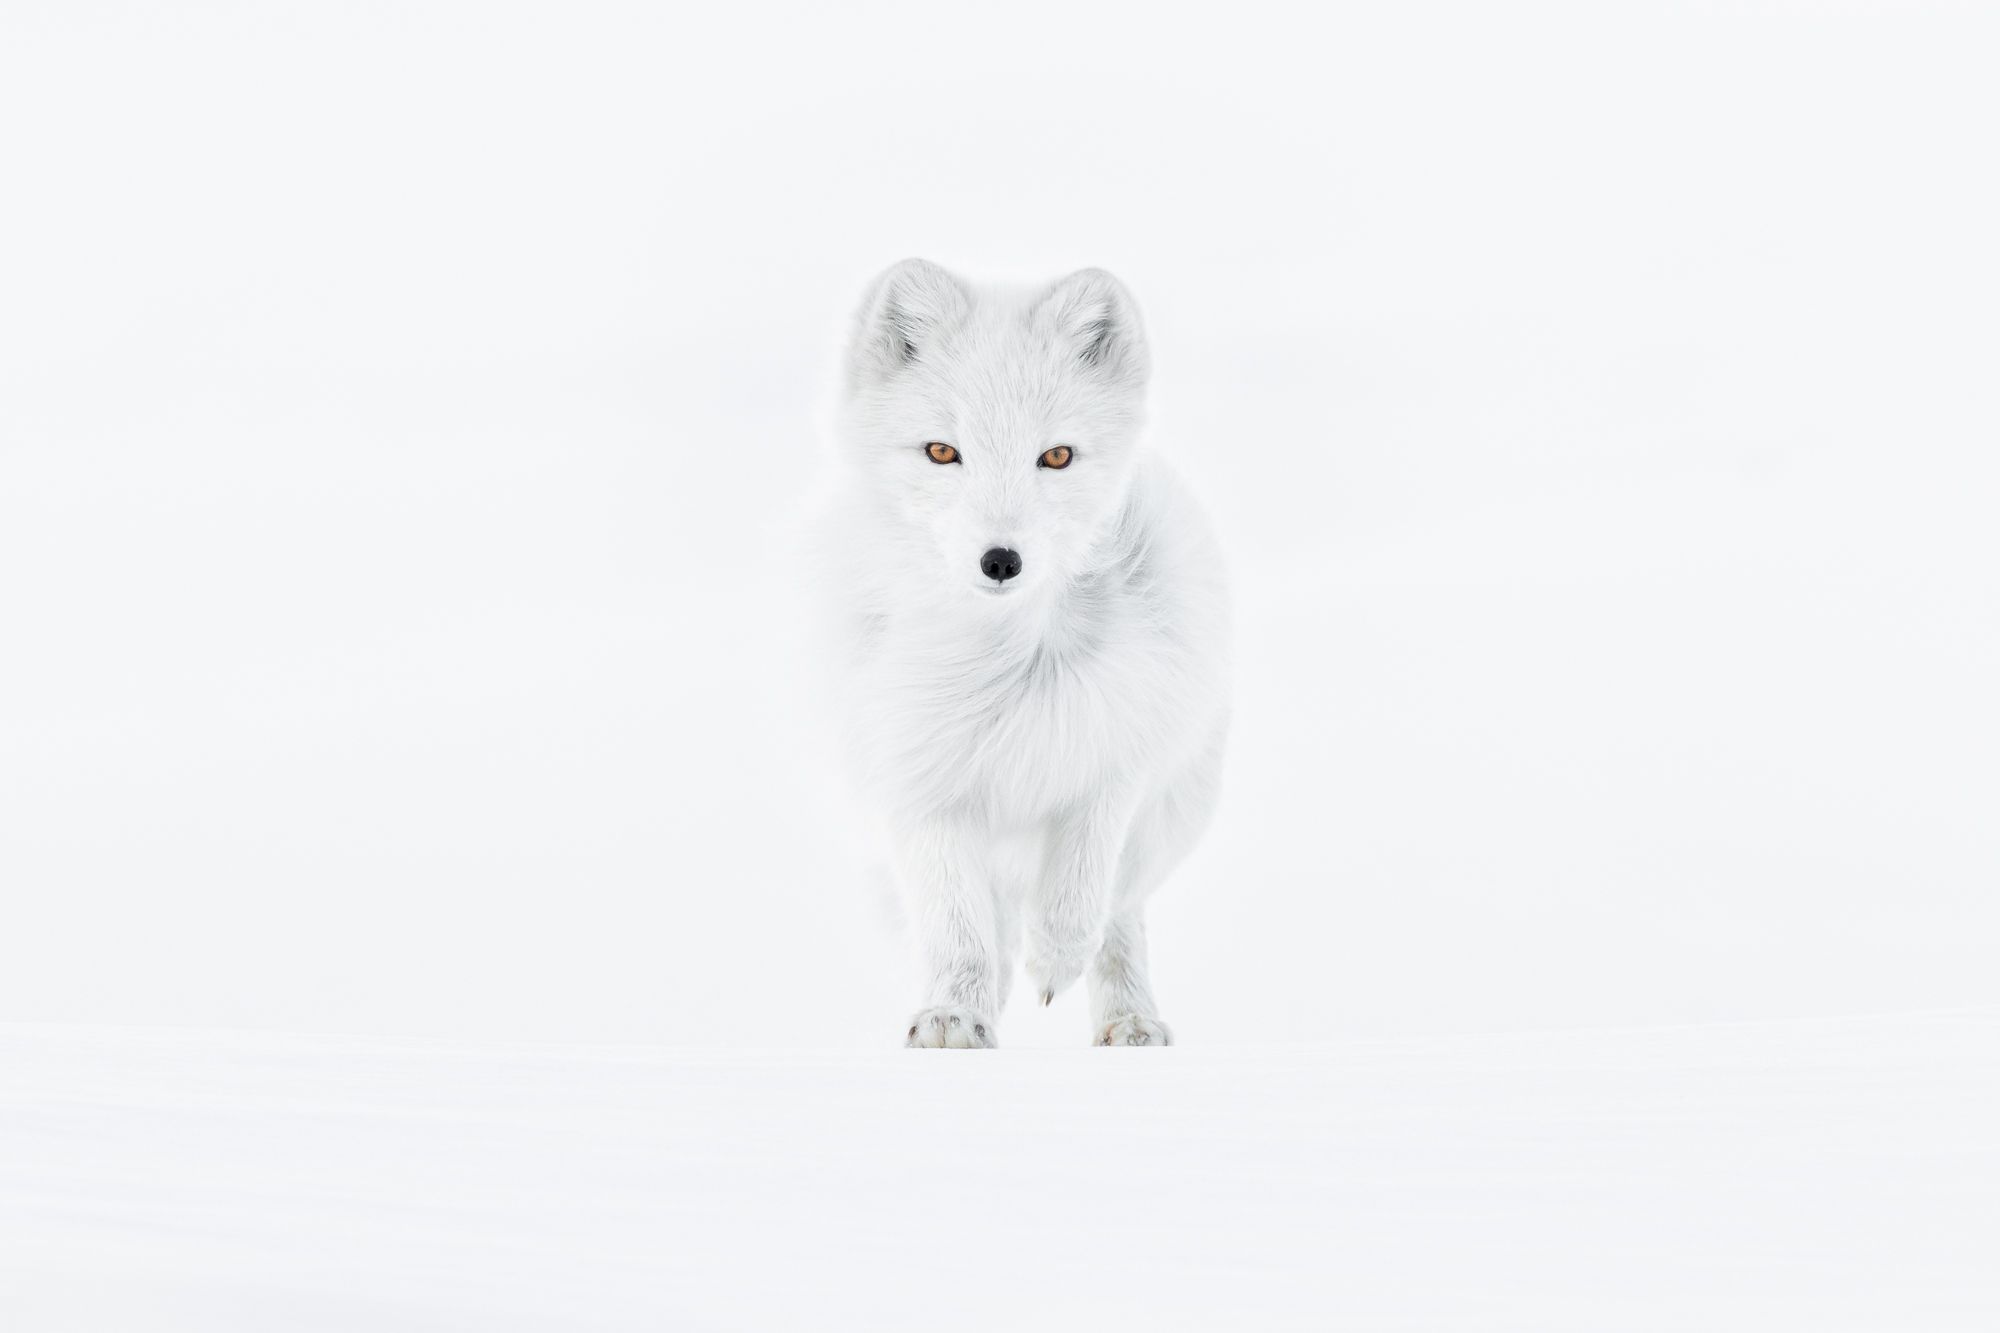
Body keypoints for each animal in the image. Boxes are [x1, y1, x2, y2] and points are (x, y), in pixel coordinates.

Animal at [821, 259, 1229, 1048]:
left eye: (1057, 456)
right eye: (942, 451)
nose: (1001, 560)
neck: (1003, 661)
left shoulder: (1114, 755)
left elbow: (1078, 891)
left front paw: (1056, 961)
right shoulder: (920, 781)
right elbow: (957, 926)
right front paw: (955, 1012)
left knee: (1118, 913)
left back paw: (1129, 1019)